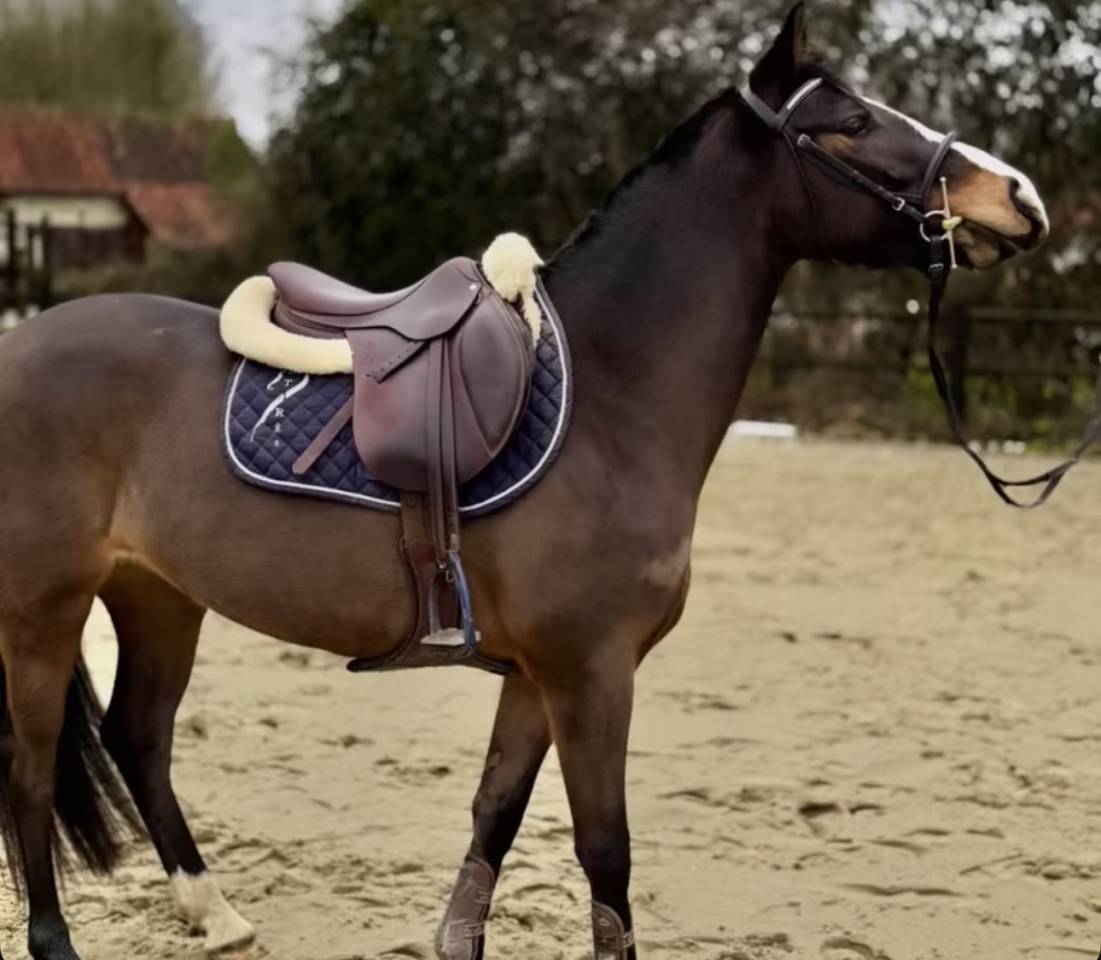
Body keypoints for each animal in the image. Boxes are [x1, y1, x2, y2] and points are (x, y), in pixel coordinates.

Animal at [0, 5, 1049, 959]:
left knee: (139, 735)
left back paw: (212, 913)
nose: (1020, 198)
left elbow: (492, 823)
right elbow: (605, 855)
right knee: (31, 766)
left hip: (158, 595)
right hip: (46, 610)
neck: (609, 393)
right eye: (852, 122)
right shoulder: (590, 671)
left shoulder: (535, 680)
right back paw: (57, 939)